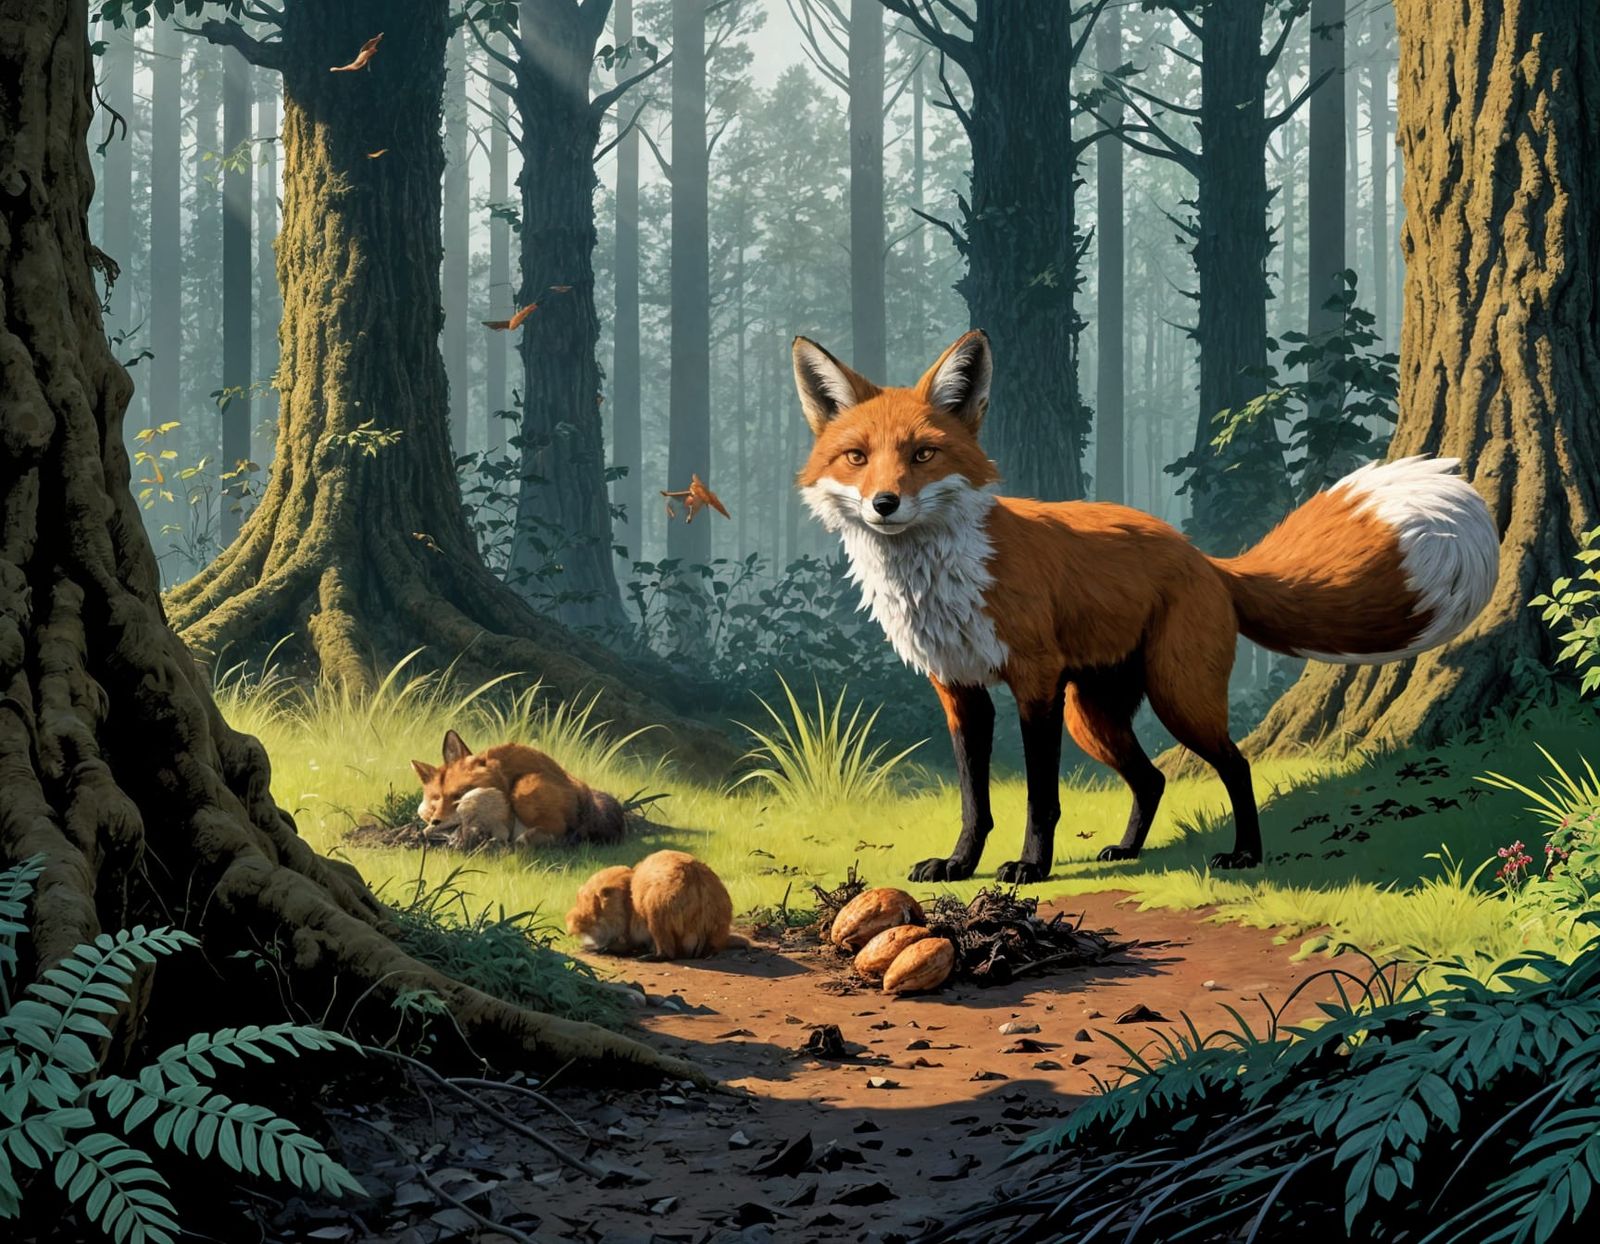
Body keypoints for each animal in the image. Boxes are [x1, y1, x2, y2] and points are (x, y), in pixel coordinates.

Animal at [791, 329, 1499, 881]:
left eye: (923, 454)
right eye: (856, 457)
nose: (885, 504)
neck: (941, 579)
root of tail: (1205, 559)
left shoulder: (1035, 680)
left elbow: (1040, 797)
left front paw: (1033, 868)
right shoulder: (958, 688)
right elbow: (975, 801)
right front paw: (960, 866)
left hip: (1175, 695)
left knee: (1236, 764)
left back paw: (1245, 854)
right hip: (1095, 716)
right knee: (1153, 778)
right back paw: (1129, 851)